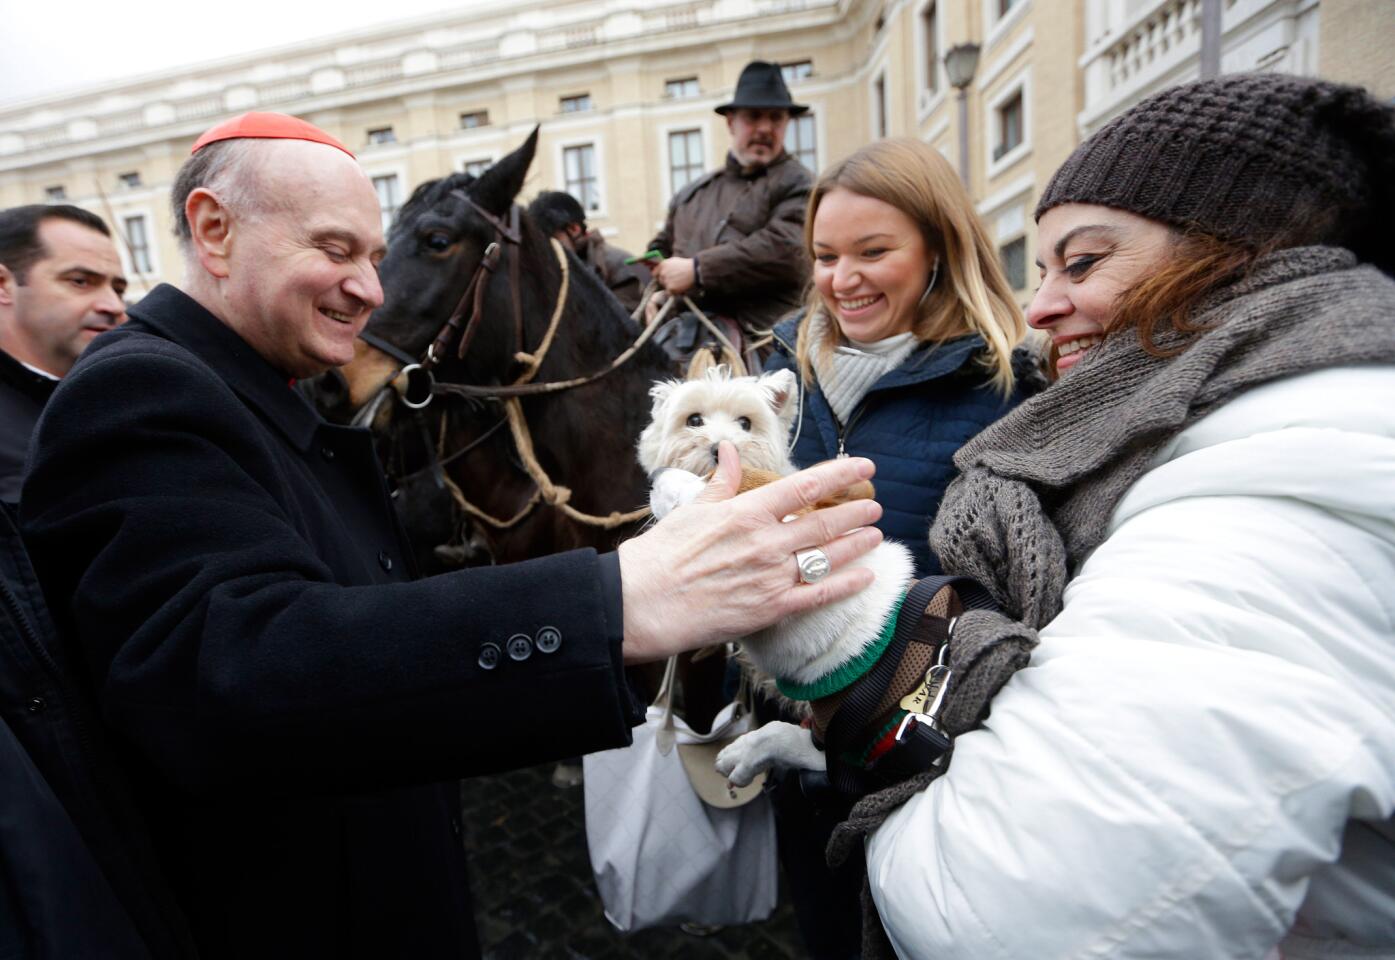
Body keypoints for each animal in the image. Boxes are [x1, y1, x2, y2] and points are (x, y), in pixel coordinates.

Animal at [638, 368, 915, 786]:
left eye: (745, 423)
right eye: (694, 419)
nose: (656, 474)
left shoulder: (851, 749)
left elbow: (783, 735)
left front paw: (747, 753)